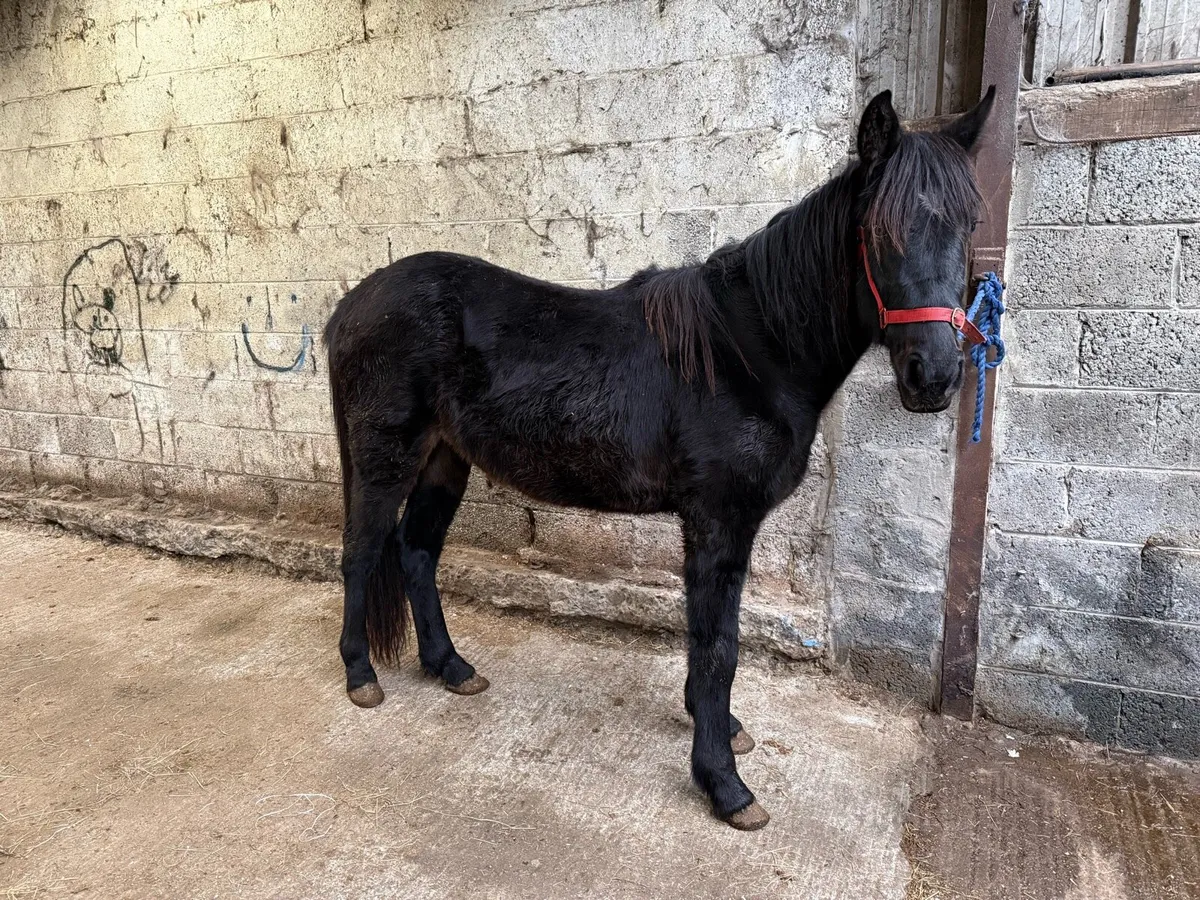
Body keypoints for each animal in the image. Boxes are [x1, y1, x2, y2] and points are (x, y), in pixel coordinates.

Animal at [323, 87, 996, 831]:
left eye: (969, 223)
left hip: (445, 459)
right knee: (362, 551)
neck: (750, 350)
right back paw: (361, 676)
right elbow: (718, 646)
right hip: (386, 454)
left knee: (416, 551)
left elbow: (715, 636)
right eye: (879, 231)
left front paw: (719, 729)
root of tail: (351, 305)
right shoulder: (718, 519)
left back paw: (450, 667)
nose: (934, 376)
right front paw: (725, 784)